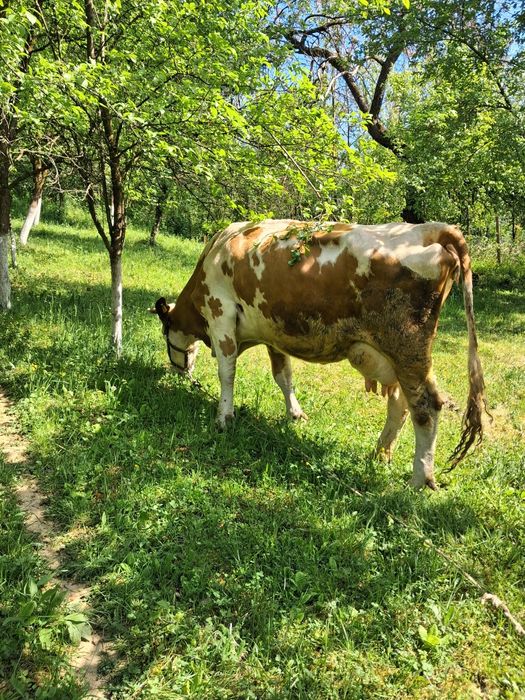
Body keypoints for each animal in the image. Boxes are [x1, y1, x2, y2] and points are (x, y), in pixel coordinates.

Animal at [151, 219, 486, 490]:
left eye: (165, 335)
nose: (176, 372)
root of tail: (428, 228)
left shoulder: (221, 315)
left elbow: (227, 373)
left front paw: (224, 418)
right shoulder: (274, 332)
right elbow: (283, 376)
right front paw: (295, 414)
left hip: (407, 349)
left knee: (426, 406)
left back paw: (419, 478)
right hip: (398, 358)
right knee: (400, 404)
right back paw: (380, 453)